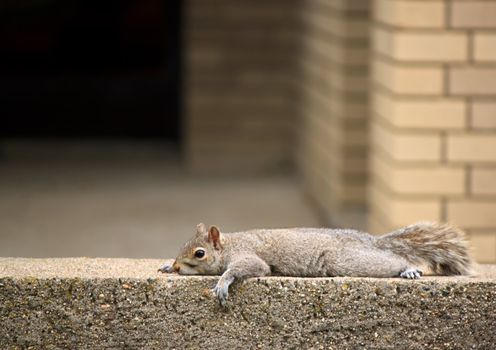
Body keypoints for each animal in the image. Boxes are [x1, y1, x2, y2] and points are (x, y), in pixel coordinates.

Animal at [159, 221, 472, 306]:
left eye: (199, 253)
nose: (178, 267)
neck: (230, 245)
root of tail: (370, 241)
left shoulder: (249, 257)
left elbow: (247, 269)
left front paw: (223, 283)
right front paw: (165, 266)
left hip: (348, 260)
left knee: (392, 259)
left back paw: (407, 269)